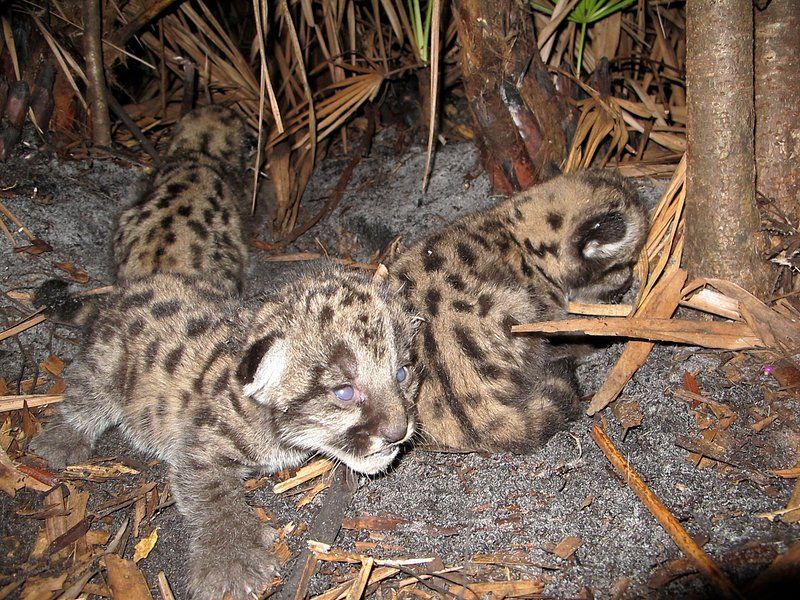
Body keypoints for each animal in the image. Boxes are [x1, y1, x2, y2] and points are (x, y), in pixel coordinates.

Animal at [30, 267, 419, 600]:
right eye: (344, 391)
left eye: (401, 374)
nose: (398, 431)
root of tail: (123, 293)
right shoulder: (201, 447)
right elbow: (214, 496)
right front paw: (232, 560)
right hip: (107, 365)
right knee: (85, 393)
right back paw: (60, 440)